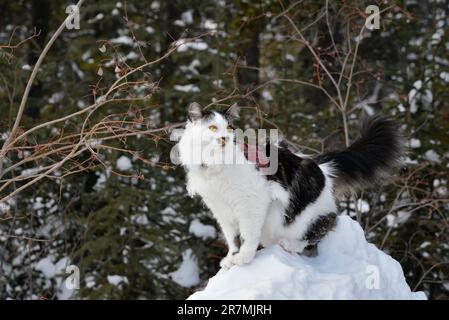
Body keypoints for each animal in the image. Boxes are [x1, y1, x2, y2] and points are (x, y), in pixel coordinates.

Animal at [178, 102, 402, 268]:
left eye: (230, 128)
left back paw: (290, 244)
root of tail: (322, 170)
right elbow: (232, 238)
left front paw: (244, 257)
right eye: (212, 128)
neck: (214, 166)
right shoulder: (221, 210)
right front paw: (231, 258)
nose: (225, 138)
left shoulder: (252, 202)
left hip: (304, 218)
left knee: (321, 230)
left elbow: (248, 234)